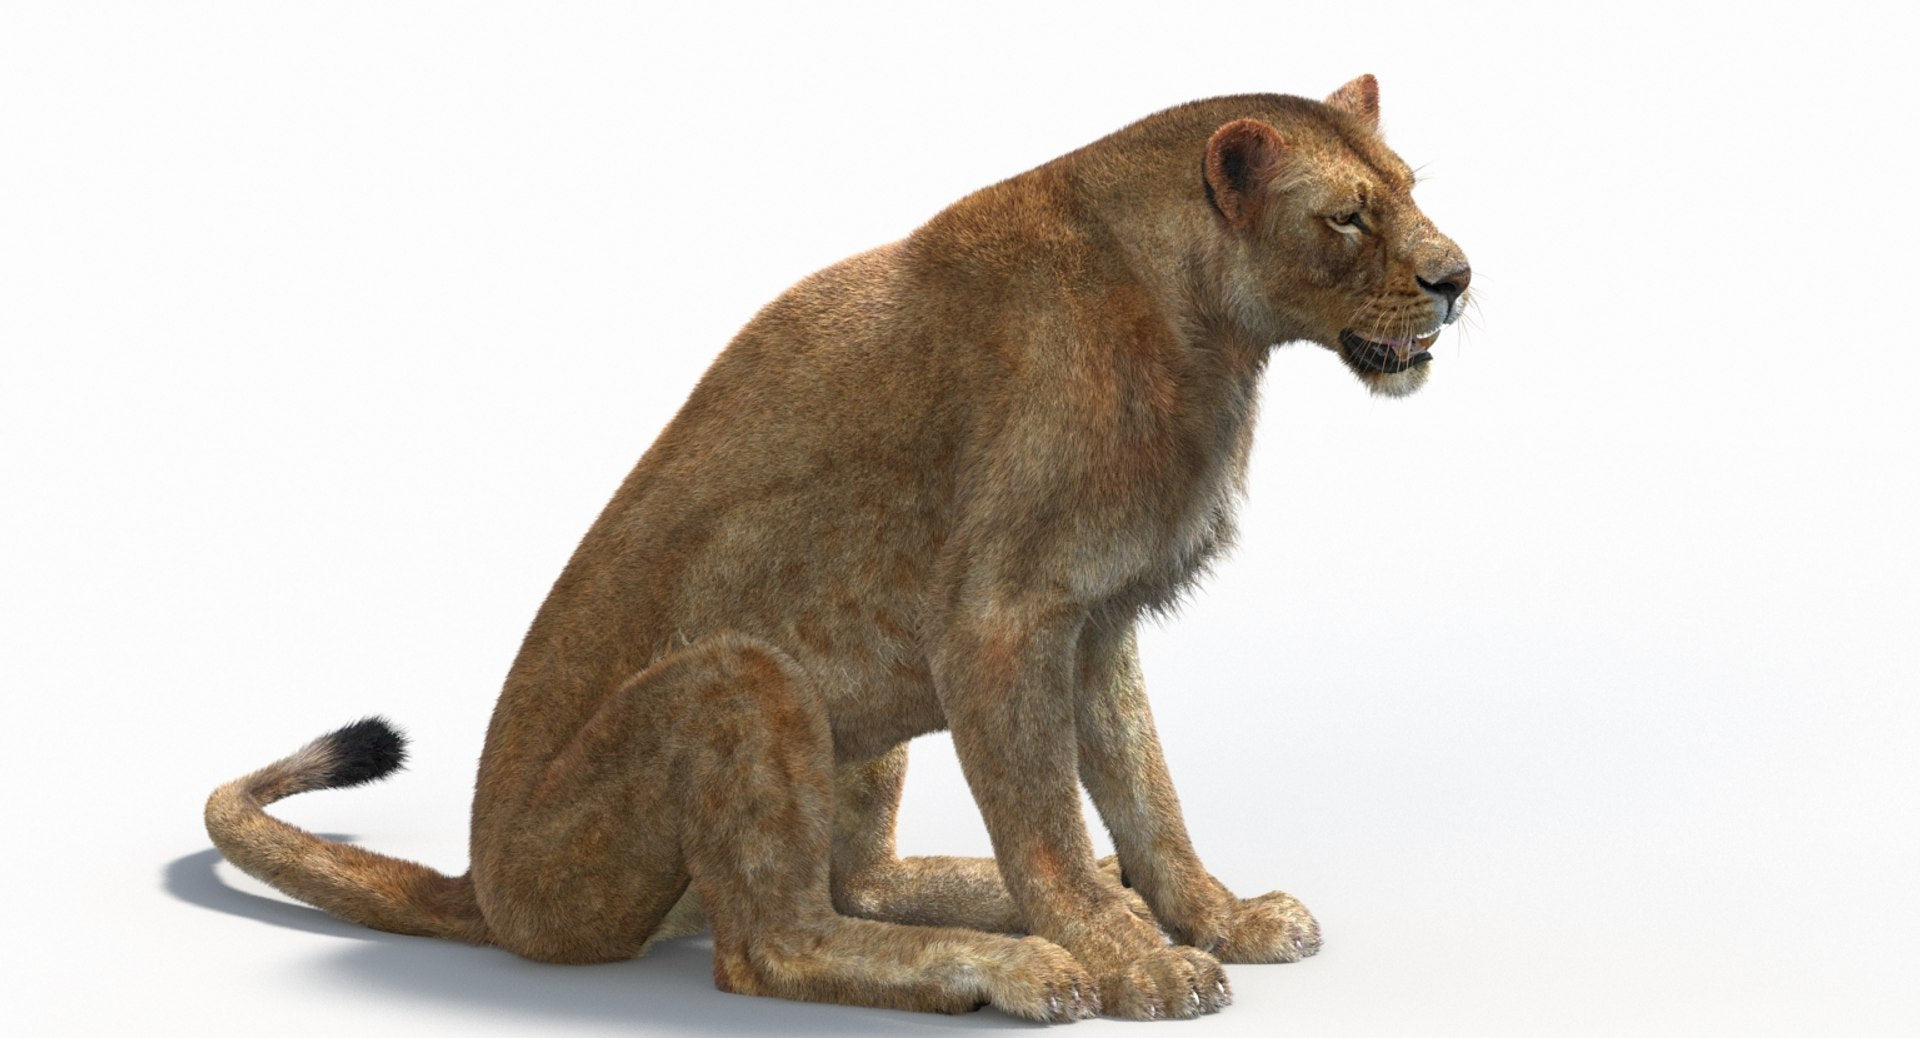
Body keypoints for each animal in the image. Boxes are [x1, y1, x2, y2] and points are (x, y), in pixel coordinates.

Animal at [205, 75, 1469, 1022]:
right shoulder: (1000, 621)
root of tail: (485, 886)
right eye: (1349, 215)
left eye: (1411, 190)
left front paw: (1209, 915)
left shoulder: (1099, 618)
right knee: (770, 942)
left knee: (852, 881)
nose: (1458, 279)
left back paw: (987, 901)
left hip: (862, 708)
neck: (1205, 337)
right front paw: (1127, 957)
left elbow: (1145, 793)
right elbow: (1046, 814)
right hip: (740, 681)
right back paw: (1008, 966)